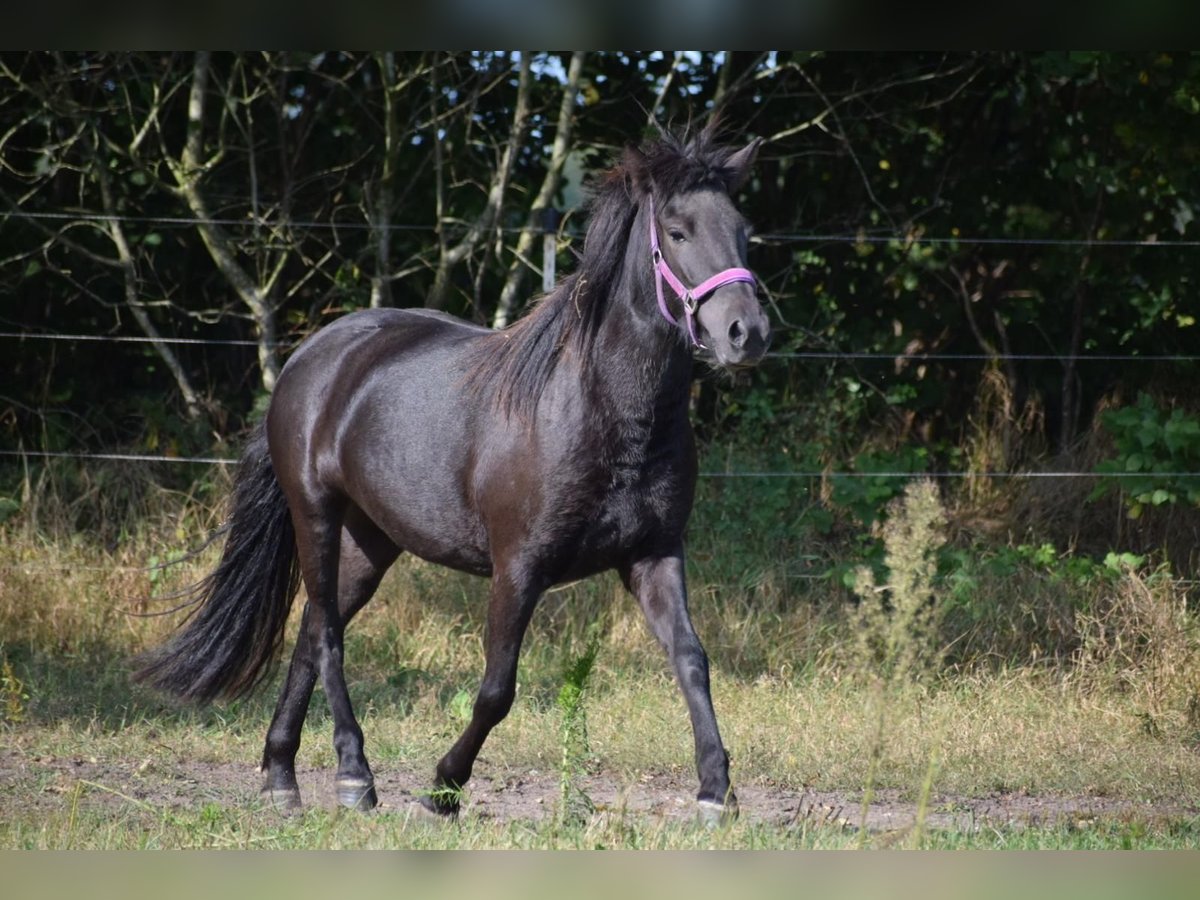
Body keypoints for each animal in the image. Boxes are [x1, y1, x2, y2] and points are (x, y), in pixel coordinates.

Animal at [136, 127, 772, 825]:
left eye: (744, 230)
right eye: (678, 231)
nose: (747, 333)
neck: (603, 410)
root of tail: (311, 356)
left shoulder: (654, 557)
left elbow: (692, 661)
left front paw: (716, 792)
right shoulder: (518, 567)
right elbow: (497, 690)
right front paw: (442, 788)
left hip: (371, 540)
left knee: (311, 629)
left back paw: (281, 776)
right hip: (315, 514)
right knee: (326, 634)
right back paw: (354, 777)